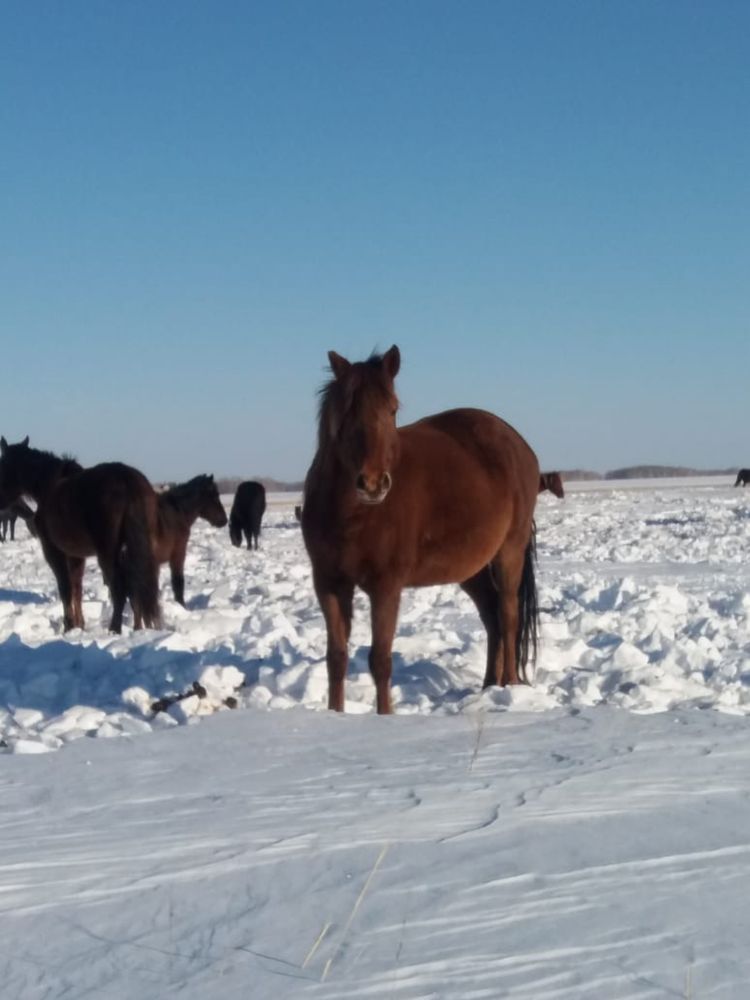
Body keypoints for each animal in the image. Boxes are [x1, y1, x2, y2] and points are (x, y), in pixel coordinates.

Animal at [0, 438, 163, 632]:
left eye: (2, 464)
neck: (49, 485)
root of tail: (127, 481)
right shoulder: (75, 555)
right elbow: (76, 588)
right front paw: (79, 624)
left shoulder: (53, 551)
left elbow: (65, 587)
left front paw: (69, 625)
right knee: (136, 587)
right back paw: (138, 628)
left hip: (108, 553)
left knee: (120, 589)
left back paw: (114, 629)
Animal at [300, 348, 540, 716]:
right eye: (347, 410)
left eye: (392, 409)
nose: (373, 483)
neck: (350, 514)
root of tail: (517, 442)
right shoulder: (328, 582)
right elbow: (336, 658)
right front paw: (335, 715)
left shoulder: (386, 585)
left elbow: (380, 660)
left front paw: (385, 717)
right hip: (471, 569)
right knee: (492, 618)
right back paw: (488, 686)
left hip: (509, 552)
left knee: (509, 615)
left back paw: (509, 687)